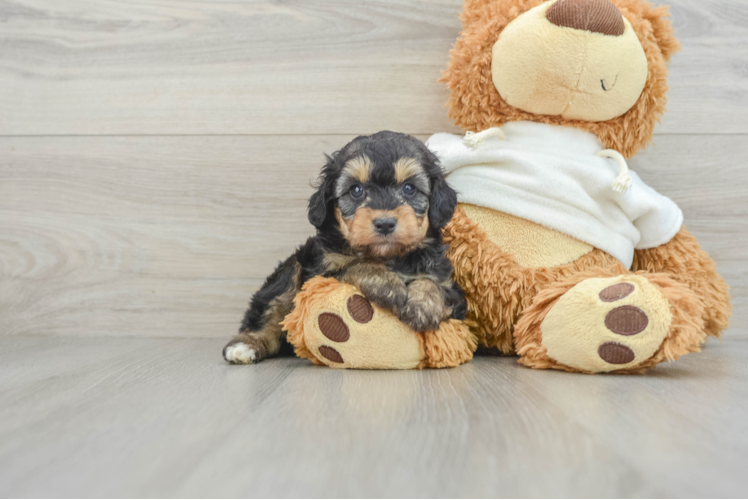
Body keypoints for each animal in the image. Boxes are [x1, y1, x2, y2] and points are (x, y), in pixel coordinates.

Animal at [224, 131, 468, 366]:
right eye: (356, 190)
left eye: (409, 188)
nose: (385, 223)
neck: (387, 256)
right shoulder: (320, 274)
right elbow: (355, 266)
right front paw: (386, 284)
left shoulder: (451, 288)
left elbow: (435, 284)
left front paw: (423, 306)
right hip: (292, 268)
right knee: (271, 310)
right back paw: (246, 345)